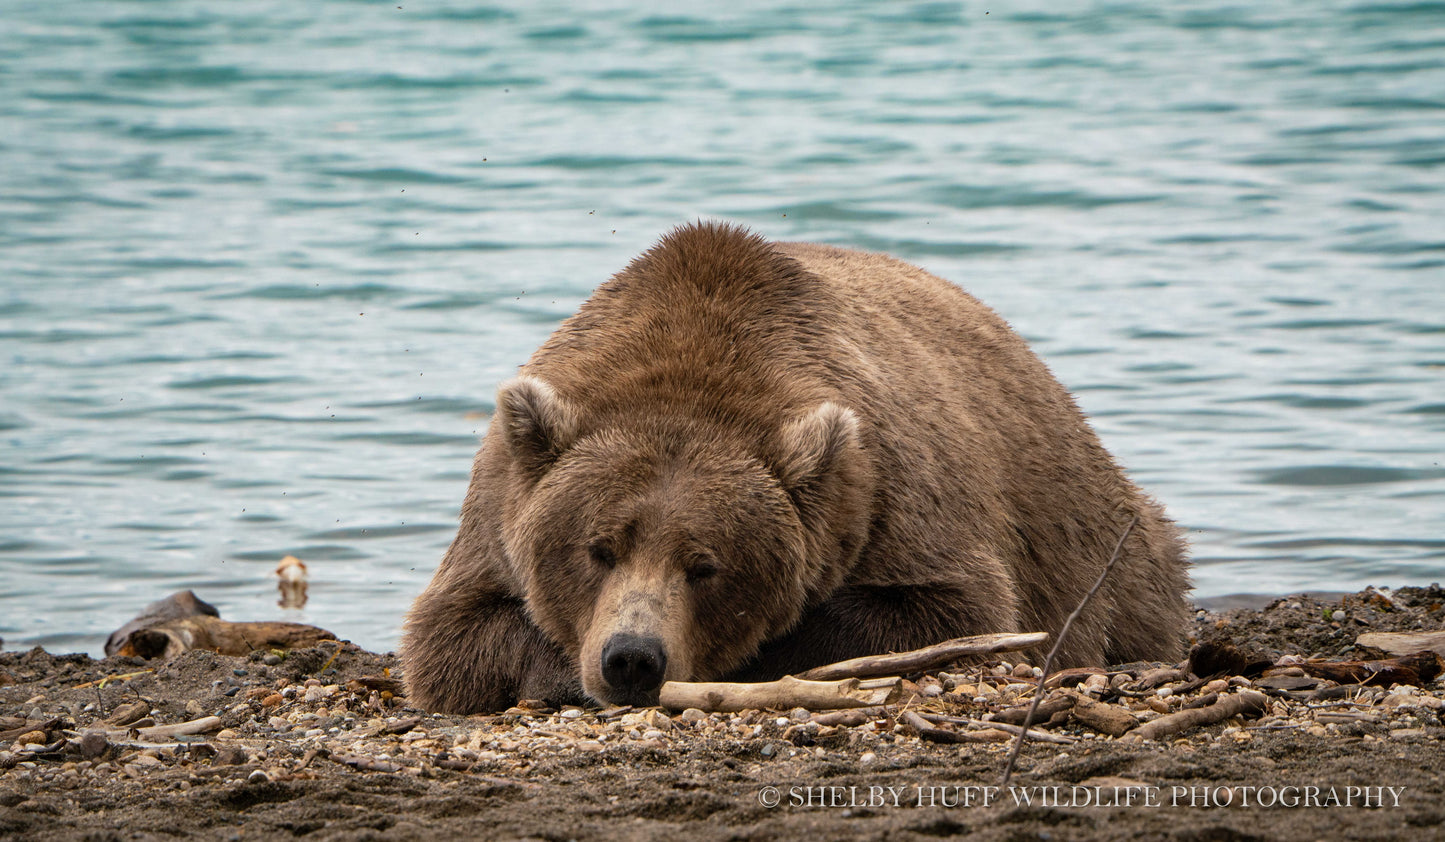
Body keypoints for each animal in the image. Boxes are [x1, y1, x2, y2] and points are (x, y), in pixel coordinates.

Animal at [400, 222, 1190, 713]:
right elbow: (453, 637)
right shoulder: (497, 506)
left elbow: (949, 613)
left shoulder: (889, 493)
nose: (631, 658)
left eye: (705, 564)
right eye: (597, 548)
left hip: (1105, 547)